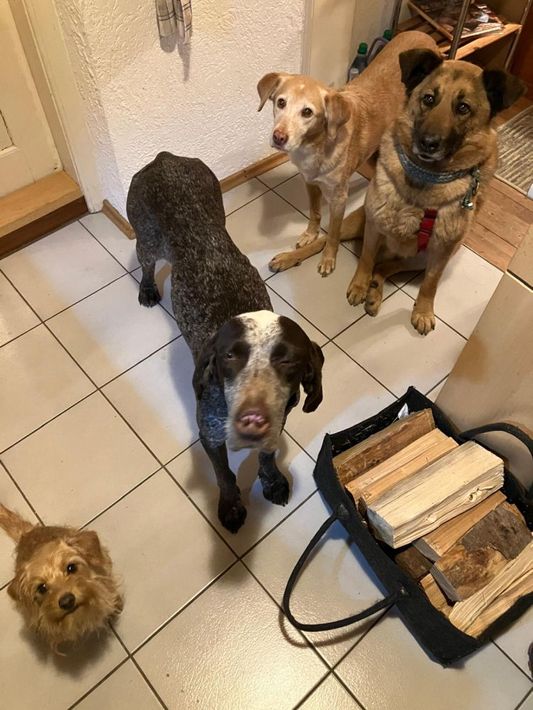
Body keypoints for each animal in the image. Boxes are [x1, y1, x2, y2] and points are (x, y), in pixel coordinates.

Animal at [127, 153, 324, 533]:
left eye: (287, 361)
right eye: (230, 357)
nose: (254, 415)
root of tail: (164, 158)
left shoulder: (277, 425)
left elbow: (267, 456)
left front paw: (271, 480)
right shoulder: (211, 435)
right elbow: (223, 475)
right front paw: (231, 506)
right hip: (147, 239)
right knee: (145, 262)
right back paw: (147, 289)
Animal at [257, 31, 438, 277]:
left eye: (307, 112)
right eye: (281, 102)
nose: (279, 137)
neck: (316, 145)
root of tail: (420, 32)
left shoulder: (339, 199)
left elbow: (333, 233)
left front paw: (328, 259)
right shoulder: (309, 182)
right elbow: (314, 211)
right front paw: (310, 234)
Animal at [345, 49, 525, 335]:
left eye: (463, 108)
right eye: (428, 99)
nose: (428, 143)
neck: (424, 179)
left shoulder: (443, 249)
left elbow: (431, 283)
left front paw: (423, 311)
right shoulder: (374, 225)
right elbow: (365, 258)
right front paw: (359, 285)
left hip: (425, 257)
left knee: (385, 266)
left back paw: (376, 291)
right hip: (356, 225)